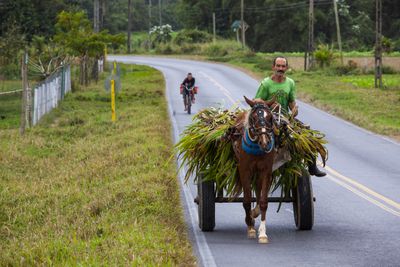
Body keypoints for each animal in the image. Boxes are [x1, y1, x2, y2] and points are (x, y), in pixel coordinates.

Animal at [231, 96, 278, 245]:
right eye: (254, 117)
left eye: (270, 117)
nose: (265, 142)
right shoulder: (244, 170)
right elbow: (246, 201)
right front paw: (250, 227)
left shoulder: (266, 171)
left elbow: (263, 202)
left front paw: (262, 233)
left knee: (257, 190)